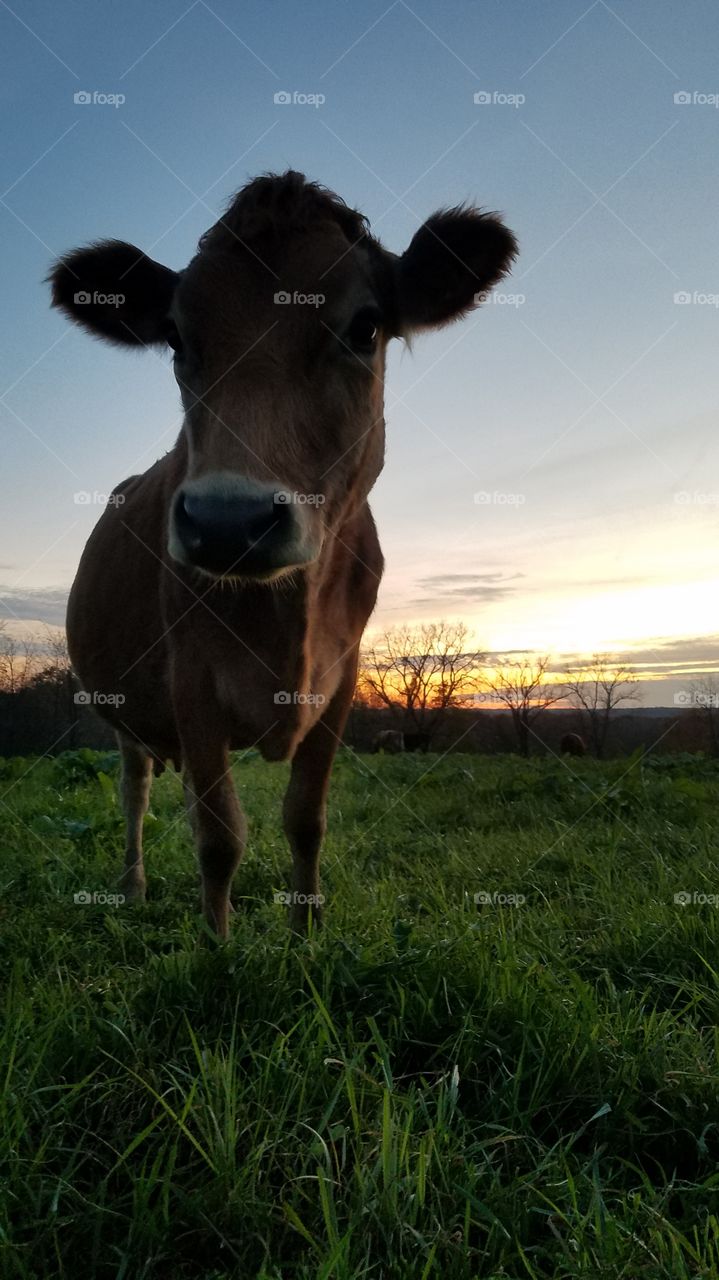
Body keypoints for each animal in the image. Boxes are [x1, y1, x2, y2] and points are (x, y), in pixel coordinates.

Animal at [51, 170, 514, 936]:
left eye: (364, 327)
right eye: (175, 336)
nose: (227, 521)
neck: (285, 613)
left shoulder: (342, 681)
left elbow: (305, 819)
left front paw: (305, 938)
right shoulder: (190, 682)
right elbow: (220, 838)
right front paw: (217, 949)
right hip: (124, 713)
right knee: (135, 791)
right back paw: (133, 887)